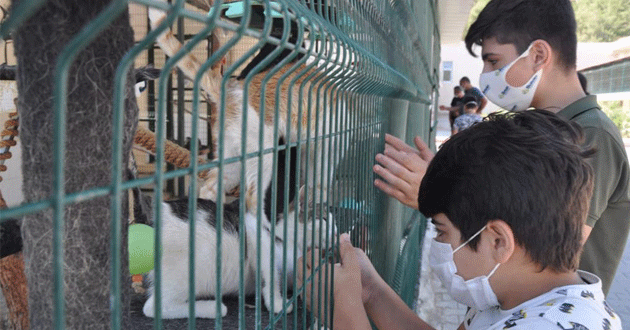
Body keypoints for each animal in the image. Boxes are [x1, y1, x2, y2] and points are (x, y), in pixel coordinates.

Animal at [143, 189, 336, 318]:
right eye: (325, 219)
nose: (336, 232)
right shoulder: (254, 230)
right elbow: (271, 274)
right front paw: (277, 303)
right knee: (153, 308)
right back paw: (214, 308)